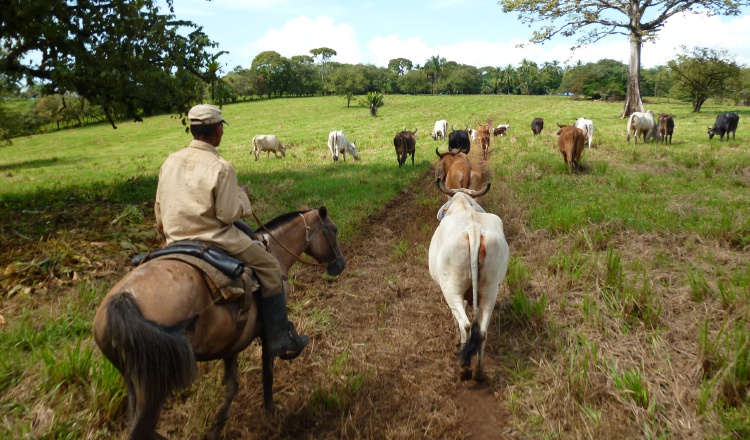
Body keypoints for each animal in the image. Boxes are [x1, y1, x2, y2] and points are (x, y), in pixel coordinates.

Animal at [93, 206, 346, 440]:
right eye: (333, 230)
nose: (340, 265)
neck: (274, 251)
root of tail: (123, 300)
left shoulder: (231, 341)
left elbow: (232, 385)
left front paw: (216, 428)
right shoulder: (267, 334)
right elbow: (267, 374)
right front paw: (270, 414)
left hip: (134, 379)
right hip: (154, 388)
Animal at [428, 182, 512, 382]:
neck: (464, 207)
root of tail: (474, 232)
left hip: (451, 289)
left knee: (465, 324)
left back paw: (464, 368)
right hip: (490, 290)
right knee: (481, 331)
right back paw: (479, 372)